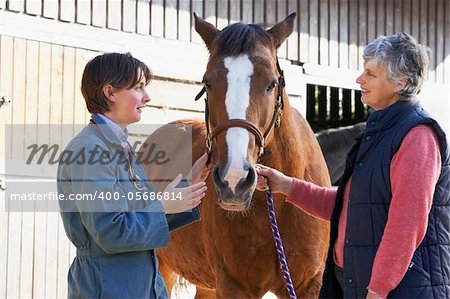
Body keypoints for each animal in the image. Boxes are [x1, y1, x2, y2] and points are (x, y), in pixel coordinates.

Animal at [140, 12, 330, 298]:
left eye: (272, 83)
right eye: (207, 83)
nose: (234, 180)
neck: (276, 206)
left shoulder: (309, 286)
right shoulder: (234, 286)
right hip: (164, 268)